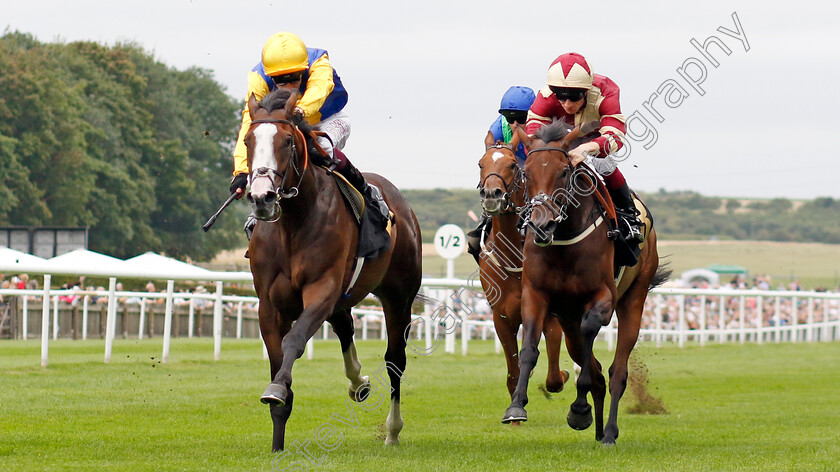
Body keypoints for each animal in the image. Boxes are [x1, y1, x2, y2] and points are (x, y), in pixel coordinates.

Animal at [246, 90, 424, 452]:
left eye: (287, 141)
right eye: (247, 140)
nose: (262, 197)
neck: (293, 223)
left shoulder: (321, 289)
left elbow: (294, 340)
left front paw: (276, 390)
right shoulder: (269, 305)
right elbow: (277, 359)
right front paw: (277, 441)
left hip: (398, 296)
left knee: (395, 360)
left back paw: (392, 430)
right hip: (344, 297)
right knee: (345, 327)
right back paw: (358, 383)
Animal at [476, 139, 568, 410]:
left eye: (512, 165)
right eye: (481, 164)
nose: (492, 194)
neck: (514, 259)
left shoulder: (550, 317)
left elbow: (554, 378)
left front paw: (563, 375)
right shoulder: (502, 318)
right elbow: (513, 373)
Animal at [498, 121, 668, 442]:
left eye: (564, 171)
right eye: (526, 173)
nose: (541, 224)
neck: (564, 240)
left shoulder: (603, 298)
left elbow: (591, 342)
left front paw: (578, 409)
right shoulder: (535, 294)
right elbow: (529, 348)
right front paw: (516, 406)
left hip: (634, 298)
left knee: (616, 371)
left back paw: (609, 431)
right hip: (568, 318)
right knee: (596, 368)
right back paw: (599, 430)